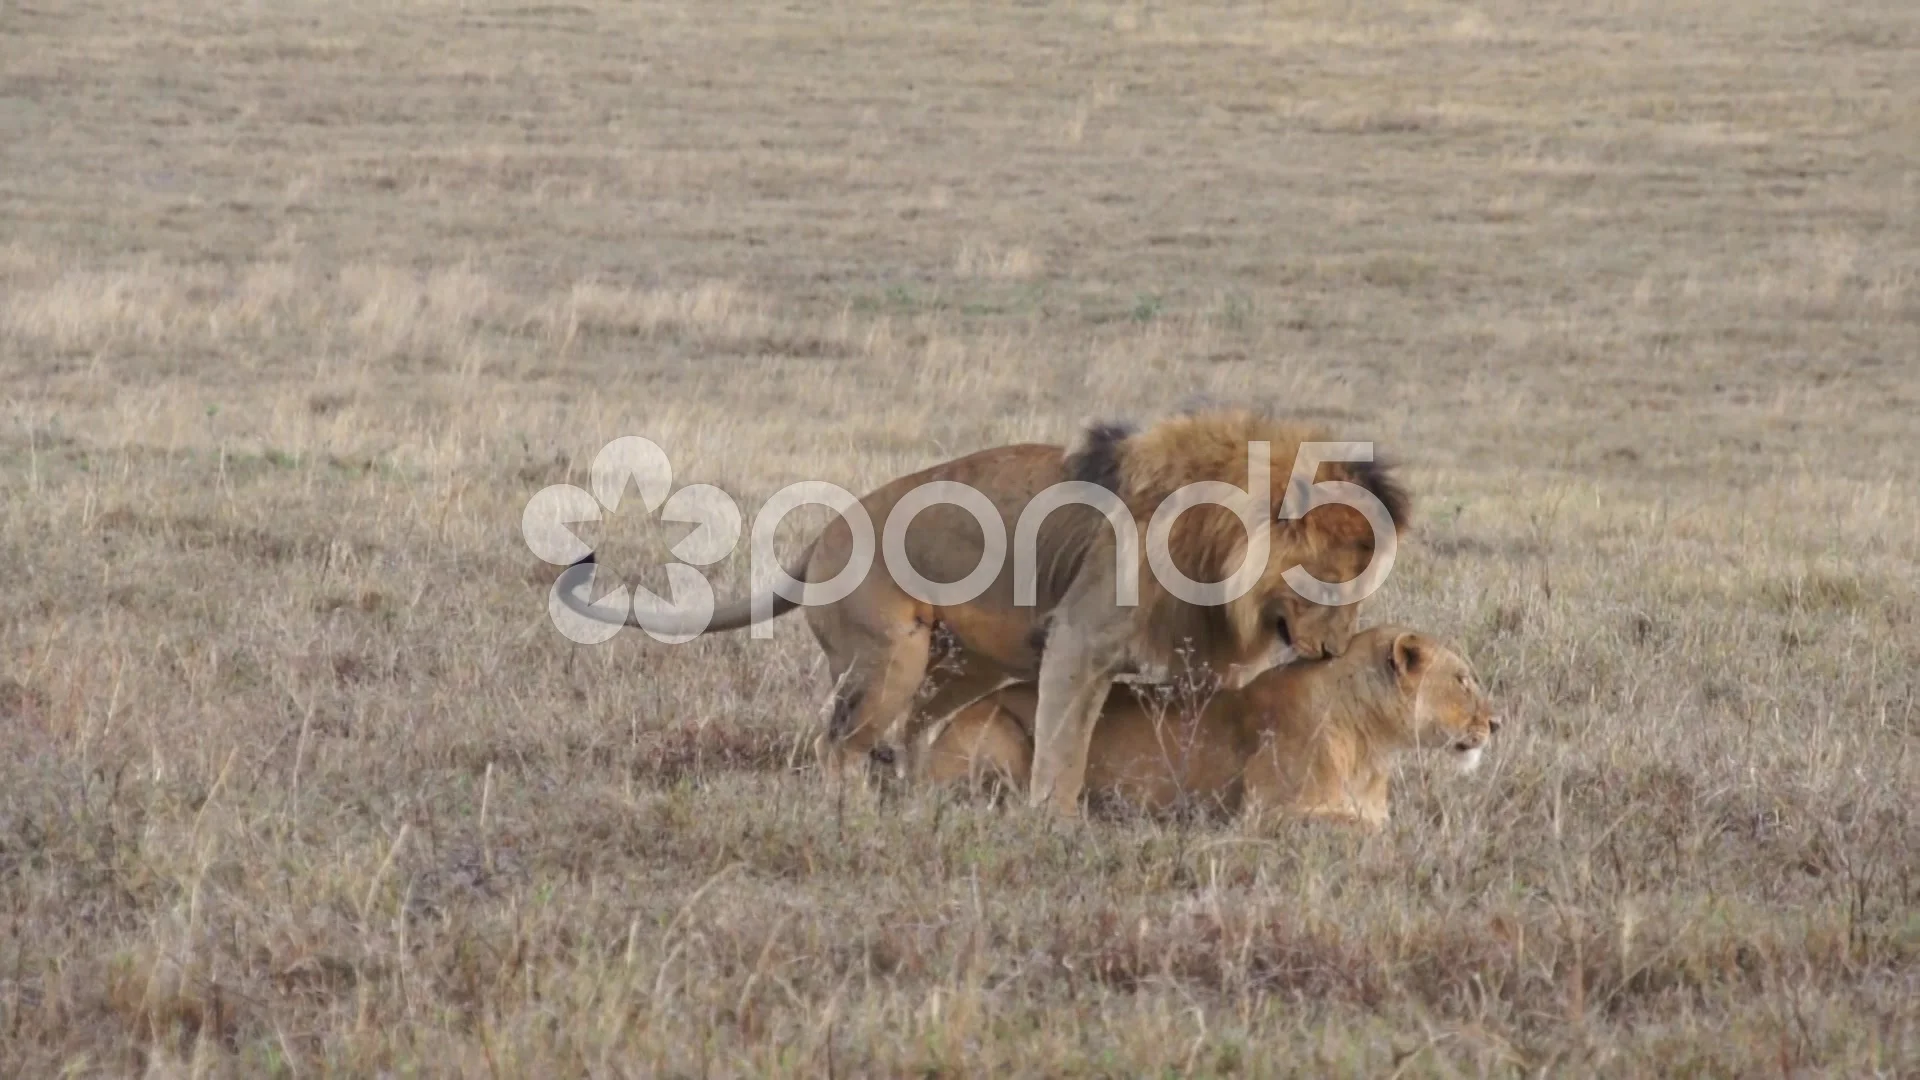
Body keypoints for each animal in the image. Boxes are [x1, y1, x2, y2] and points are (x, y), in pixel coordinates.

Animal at [556, 407, 1413, 810]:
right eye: (1330, 584)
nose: (1333, 653)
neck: (1215, 551)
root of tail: (821, 537)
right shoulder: (1080, 641)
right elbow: (1064, 748)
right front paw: (1055, 823)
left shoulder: (1207, 671)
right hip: (890, 654)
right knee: (839, 741)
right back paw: (851, 817)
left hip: (964, 664)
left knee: (912, 733)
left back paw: (920, 803)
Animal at [917, 622, 1497, 822]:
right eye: (1463, 680)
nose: (1497, 723)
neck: (1371, 747)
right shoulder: (1266, 814)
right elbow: (1362, 831)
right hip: (1003, 731)